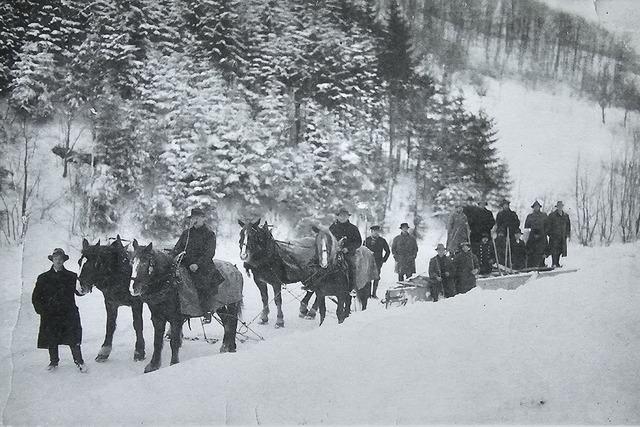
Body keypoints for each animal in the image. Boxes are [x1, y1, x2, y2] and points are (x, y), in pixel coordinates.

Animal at [129, 241, 242, 374]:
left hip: (232, 303)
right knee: (227, 323)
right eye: (131, 262)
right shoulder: (158, 318)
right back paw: (225, 346)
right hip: (219, 306)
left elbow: (174, 342)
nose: (134, 288)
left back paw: (231, 347)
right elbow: (157, 342)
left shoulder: (176, 318)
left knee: (232, 322)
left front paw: (174, 364)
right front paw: (153, 365)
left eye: (145, 262)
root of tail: (234, 268)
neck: (169, 282)